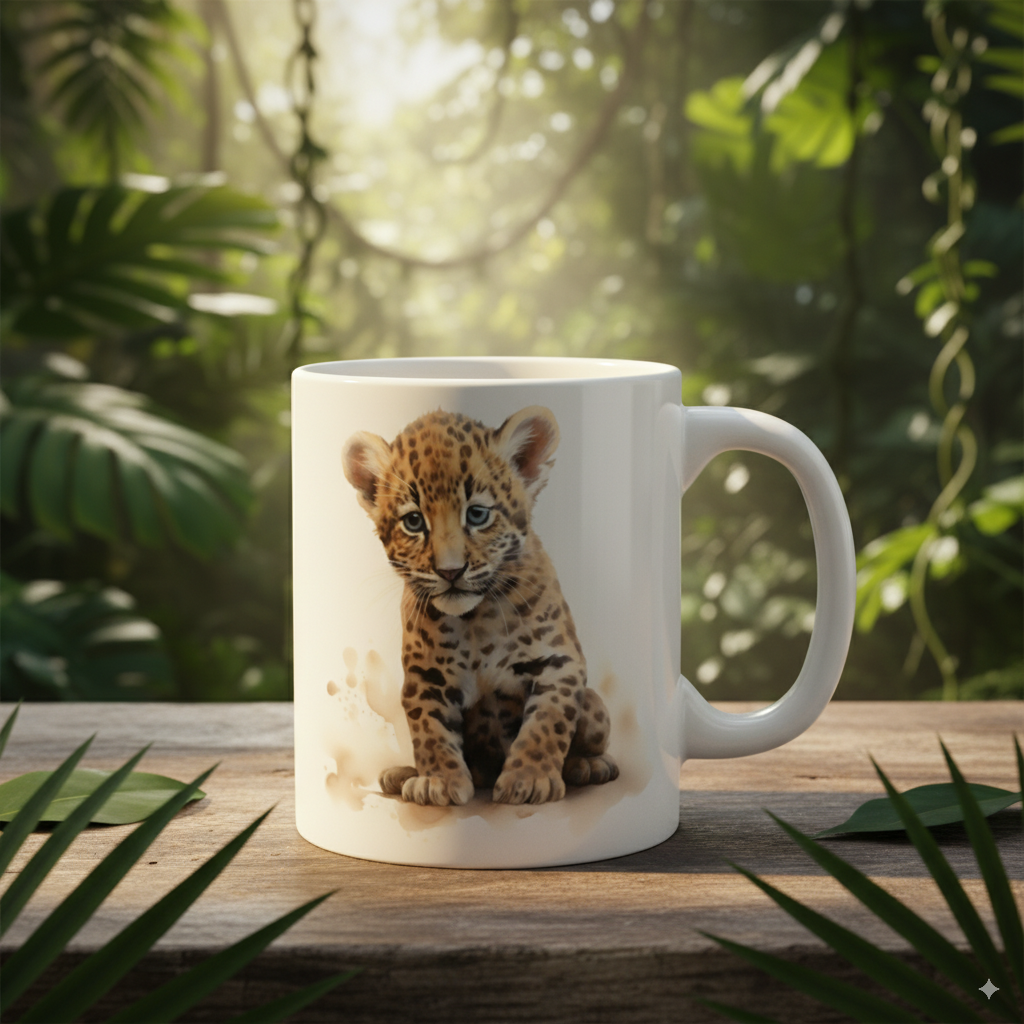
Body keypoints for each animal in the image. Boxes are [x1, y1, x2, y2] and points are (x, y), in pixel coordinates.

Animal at [342, 405, 619, 806]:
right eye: (413, 521)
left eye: (477, 514)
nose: (450, 571)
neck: (476, 619)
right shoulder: (426, 675)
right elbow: (430, 731)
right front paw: (437, 781)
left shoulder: (557, 662)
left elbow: (546, 723)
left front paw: (530, 779)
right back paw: (403, 774)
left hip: (595, 707)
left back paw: (590, 765)